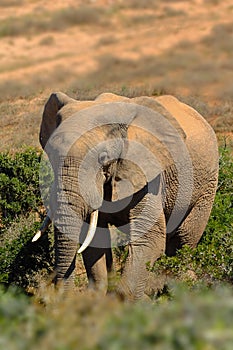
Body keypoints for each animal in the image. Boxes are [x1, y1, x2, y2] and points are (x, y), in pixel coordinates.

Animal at [34, 92, 218, 300]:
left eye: (103, 158)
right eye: (51, 155)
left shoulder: (149, 175)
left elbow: (150, 238)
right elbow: (95, 238)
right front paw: (96, 299)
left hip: (206, 184)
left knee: (183, 239)